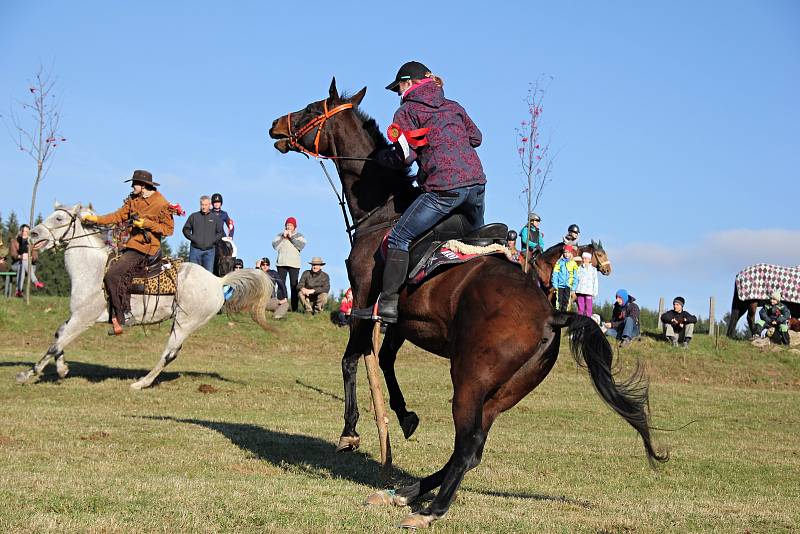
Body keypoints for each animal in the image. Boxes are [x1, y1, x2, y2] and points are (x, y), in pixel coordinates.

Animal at [18, 203, 276, 392]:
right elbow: (58, 336)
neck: (92, 270)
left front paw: (28, 374)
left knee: (169, 354)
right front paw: (61, 369)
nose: (33, 234)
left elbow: (55, 345)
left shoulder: (83, 319)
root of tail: (218, 281)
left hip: (185, 323)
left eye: (59, 219)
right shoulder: (76, 316)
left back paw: (141, 383)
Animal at [268, 80, 664, 532]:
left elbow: (352, 360)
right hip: (502, 392)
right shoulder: (403, 321)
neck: (383, 213)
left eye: (311, 108)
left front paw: (350, 432)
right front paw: (405, 417)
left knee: (469, 442)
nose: (275, 125)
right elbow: (384, 362)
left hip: (470, 378)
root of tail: (553, 313)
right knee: (470, 449)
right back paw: (409, 492)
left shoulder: (366, 300)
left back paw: (430, 508)